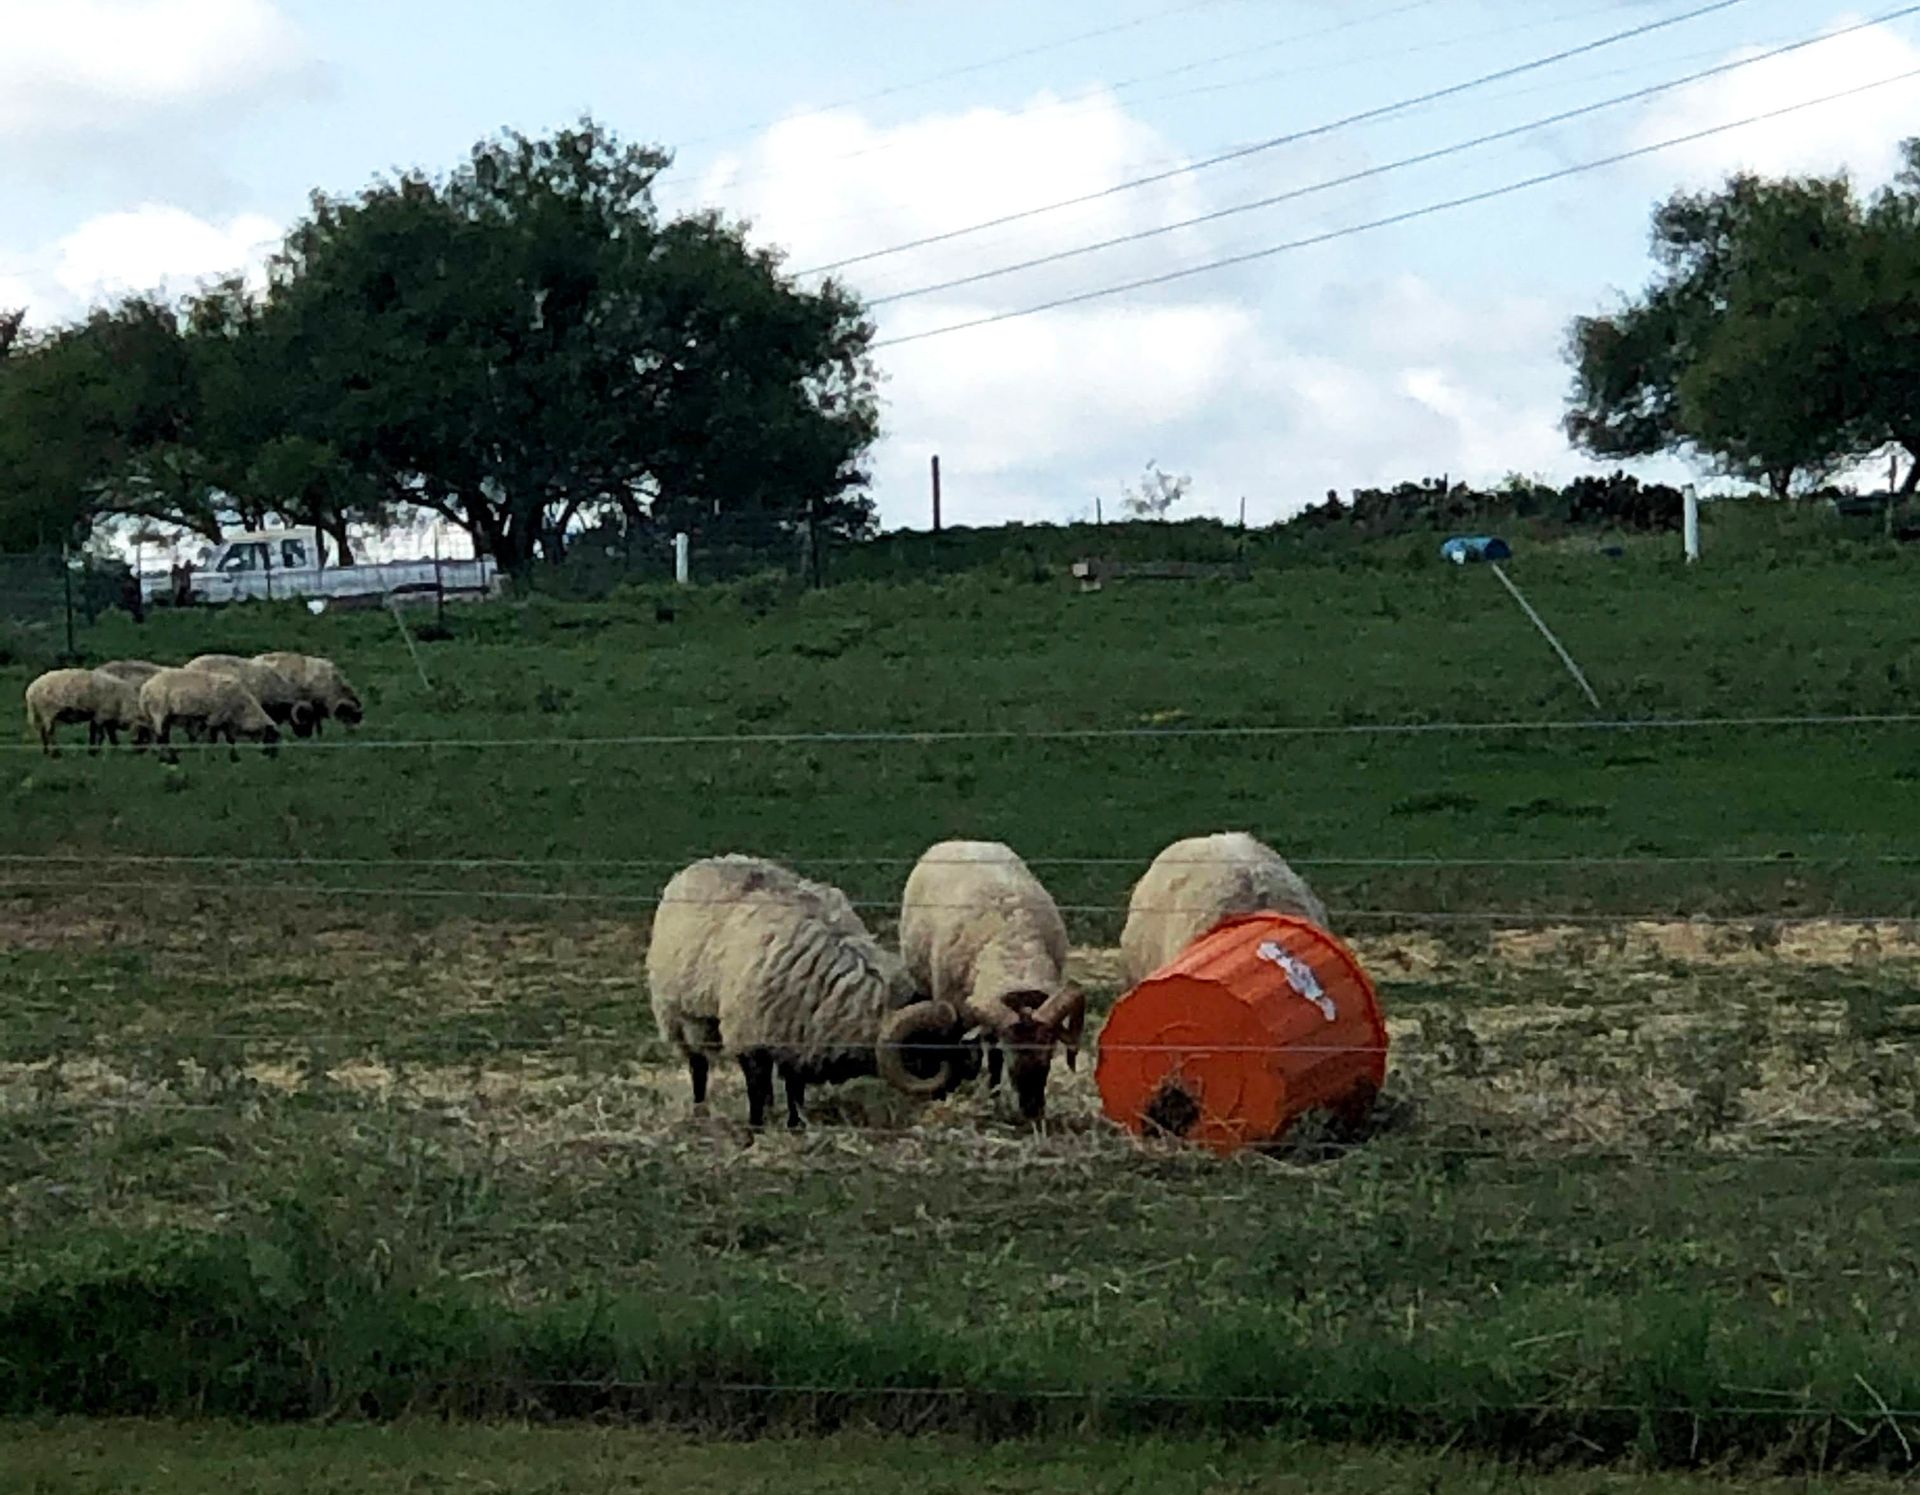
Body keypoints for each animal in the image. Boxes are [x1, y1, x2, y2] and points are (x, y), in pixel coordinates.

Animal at [138, 668, 279, 757]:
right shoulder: (215, 717)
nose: (272, 757)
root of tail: (146, 687)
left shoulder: (224, 721)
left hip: (158, 716)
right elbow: (211, 739)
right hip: (159, 712)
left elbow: (230, 740)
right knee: (161, 736)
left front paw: (234, 757)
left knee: (159, 734)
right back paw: (168, 756)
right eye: (270, 738)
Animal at [647, 854, 976, 1129]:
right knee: (698, 1064)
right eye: (932, 1045)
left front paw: (795, 1124)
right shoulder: (748, 1034)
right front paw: (755, 1128)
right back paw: (700, 1109)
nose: (952, 1091)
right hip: (677, 1015)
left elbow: (793, 1086)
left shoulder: (795, 1032)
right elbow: (755, 1085)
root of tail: (700, 864)